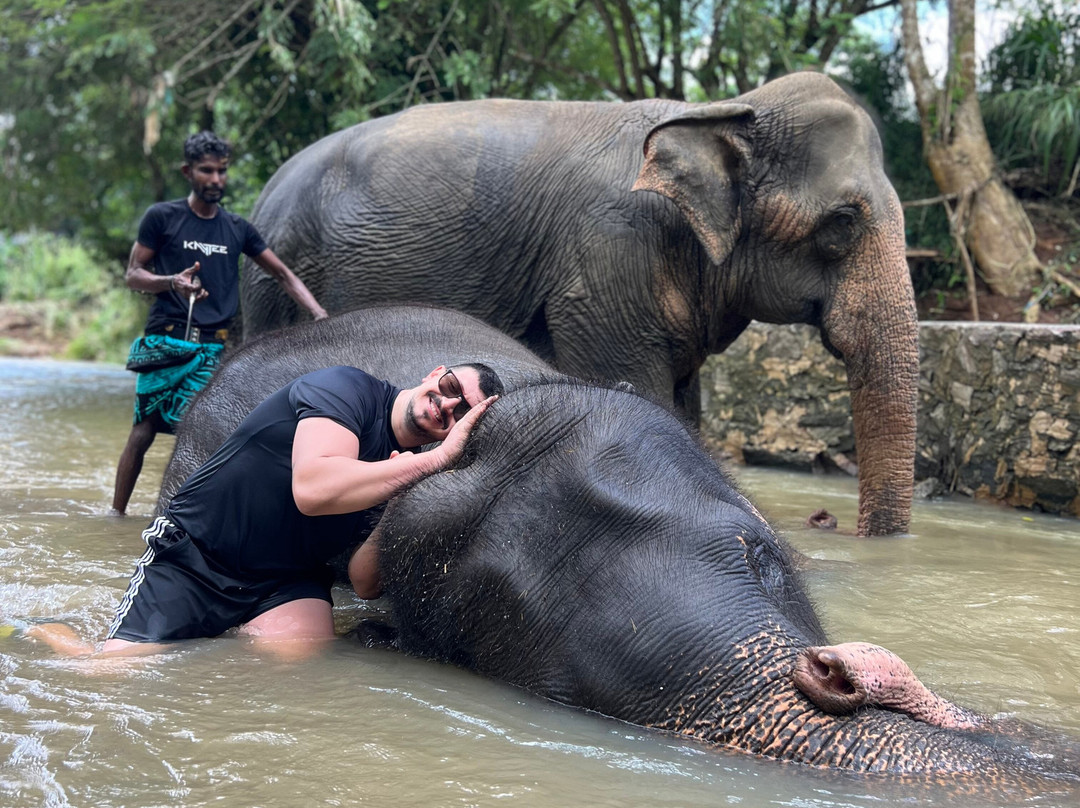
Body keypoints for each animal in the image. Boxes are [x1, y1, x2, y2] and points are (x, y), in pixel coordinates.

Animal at [239, 70, 919, 537]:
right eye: (841, 224)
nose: (828, 521)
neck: (721, 112)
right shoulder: (607, 262)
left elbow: (685, 405)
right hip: (272, 286)